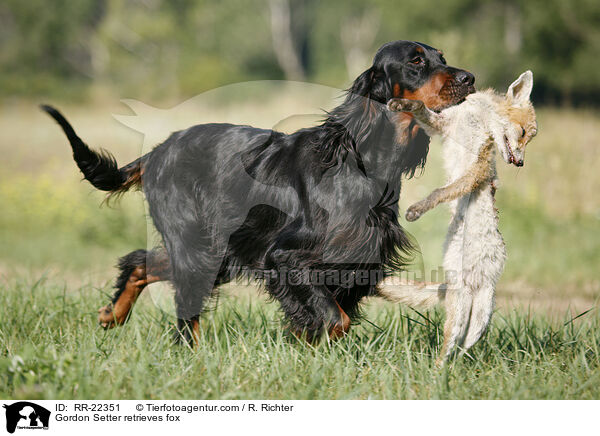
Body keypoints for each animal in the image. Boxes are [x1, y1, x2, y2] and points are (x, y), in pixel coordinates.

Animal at [41, 40, 474, 344]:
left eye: (441, 56)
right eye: (416, 61)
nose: (469, 78)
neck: (362, 156)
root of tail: (158, 151)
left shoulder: (358, 261)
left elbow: (329, 316)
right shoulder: (286, 256)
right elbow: (336, 319)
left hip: (217, 251)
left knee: (140, 263)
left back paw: (110, 315)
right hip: (199, 244)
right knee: (184, 307)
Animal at [378, 71, 536, 362]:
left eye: (530, 138)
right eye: (522, 133)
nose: (520, 163)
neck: (479, 118)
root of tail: (470, 286)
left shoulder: (478, 168)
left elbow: (441, 192)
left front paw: (417, 209)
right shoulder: (444, 125)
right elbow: (420, 108)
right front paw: (400, 104)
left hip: (477, 321)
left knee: (454, 351)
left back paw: (442, 372)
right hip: (464, 315)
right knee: (454, 351)